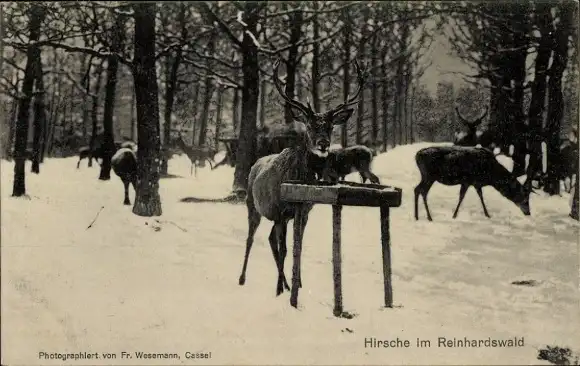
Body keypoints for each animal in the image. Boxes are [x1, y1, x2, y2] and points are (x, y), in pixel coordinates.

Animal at [238, 58, 364, 298]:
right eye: (311, 125)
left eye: (330, 126)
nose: (323, 144)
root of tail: (255, 164)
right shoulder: (279, 211)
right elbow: (286, 248)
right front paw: (279, 289)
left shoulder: (303, 212)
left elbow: (298, 246)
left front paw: (297, 284)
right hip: (252, 205)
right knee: (251, 238)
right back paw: (243, 278)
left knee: (270, 239)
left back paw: (287, 283)